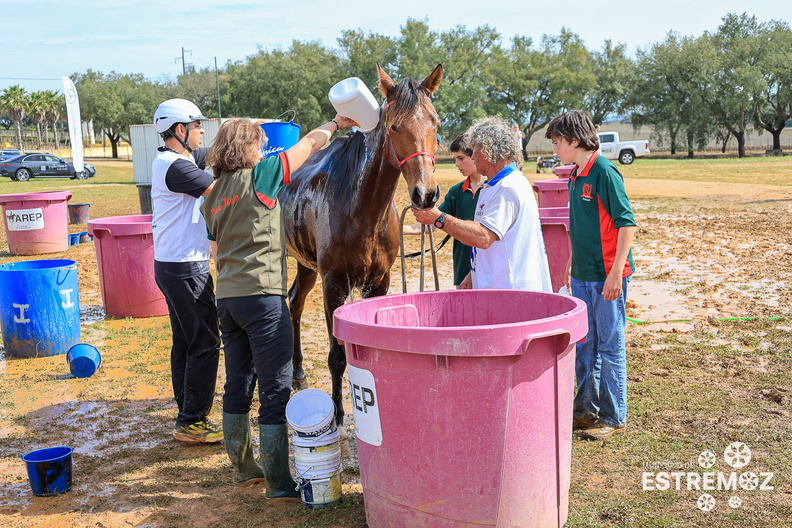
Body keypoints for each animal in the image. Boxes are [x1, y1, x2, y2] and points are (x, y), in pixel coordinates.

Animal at [278, 63, 442, 424]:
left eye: (436, 122)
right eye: (394, 126)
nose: (425, 194)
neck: (360, 209)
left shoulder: (378, 282)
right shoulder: (334, 284)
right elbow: (337, 356)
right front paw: (338, 413)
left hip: (306, 265)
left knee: (295, 302)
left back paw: (298, 373)